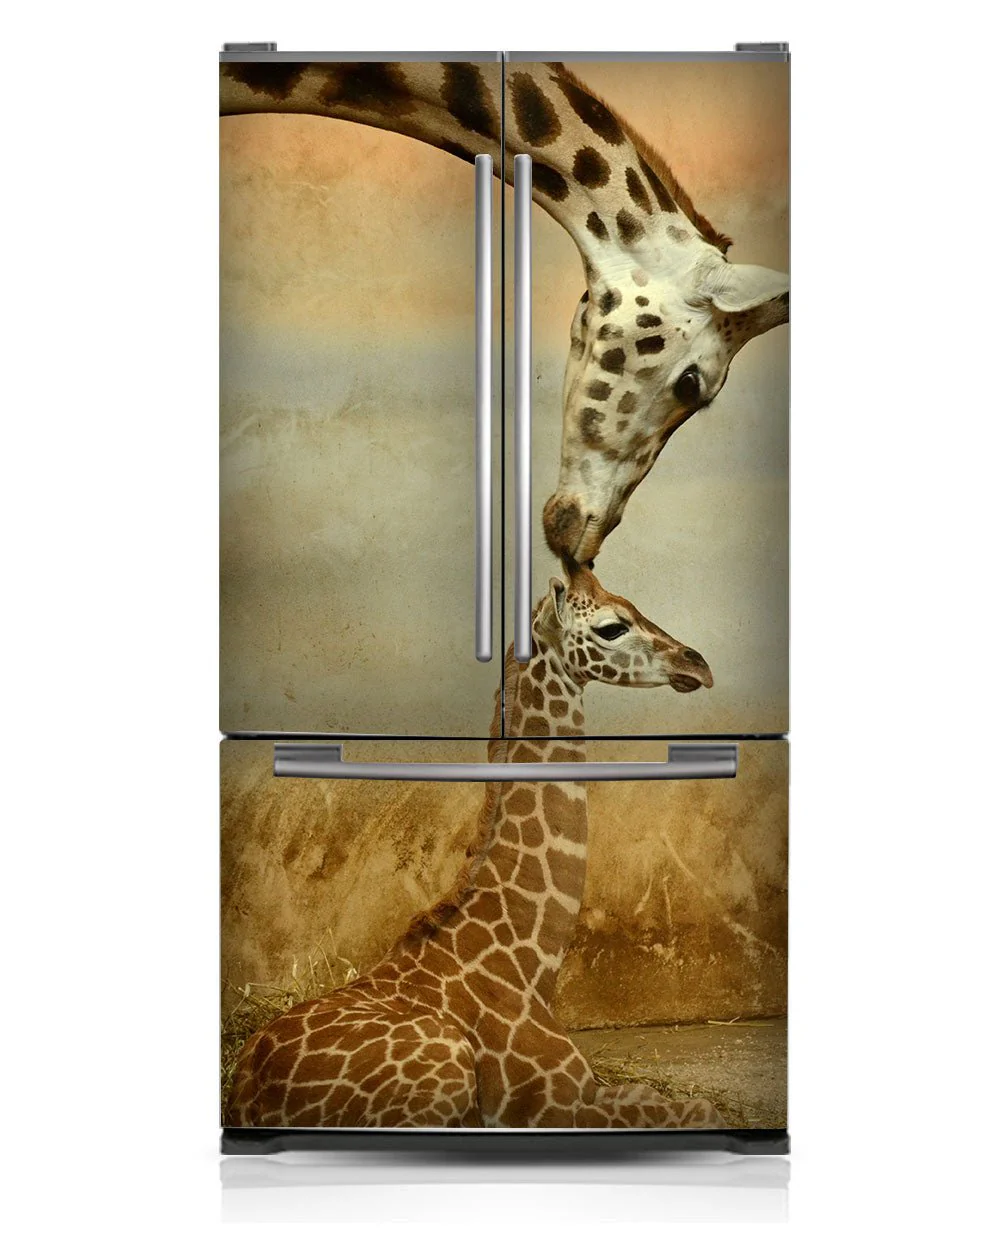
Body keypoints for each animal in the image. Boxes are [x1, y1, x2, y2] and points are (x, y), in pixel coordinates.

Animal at [225, 564, 724, 1129]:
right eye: (612, 626)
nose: (698, 664)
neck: (529, 960)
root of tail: (244, 1097)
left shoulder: (590, 1091)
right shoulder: (549, 1109)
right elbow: (703, 1110)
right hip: (443, 1079)